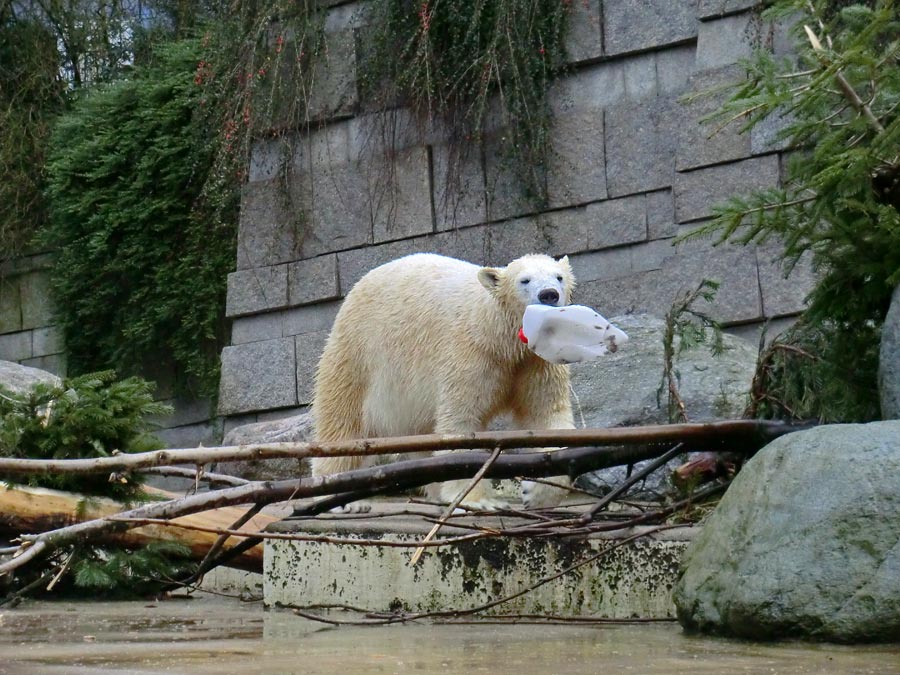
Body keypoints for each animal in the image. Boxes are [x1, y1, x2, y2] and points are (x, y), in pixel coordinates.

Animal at [312, 254, 576, 512]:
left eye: (559, 277)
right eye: (525, 280)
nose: (549, 294)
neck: (498, 335)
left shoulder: (537, 362)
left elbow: (546, 416)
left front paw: (537, 494)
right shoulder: (470, 354)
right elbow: (461, 420)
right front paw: (478, 500)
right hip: (359, 353)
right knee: (344, 418)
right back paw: (342, 497)